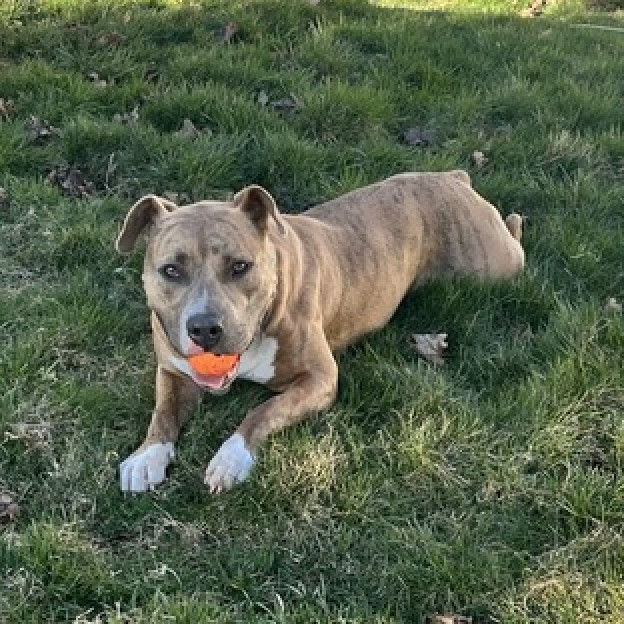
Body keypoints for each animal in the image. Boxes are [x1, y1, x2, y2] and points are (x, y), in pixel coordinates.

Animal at [116, 169, 520, 492]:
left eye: (240, 266)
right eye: (171, 270)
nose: (204, 329)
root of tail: (451, 176)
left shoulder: (320, 379)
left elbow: (263, 410)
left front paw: (232, 457)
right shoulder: (172, 370)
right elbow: (163, 411)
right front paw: (146, 455)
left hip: (496, 264)